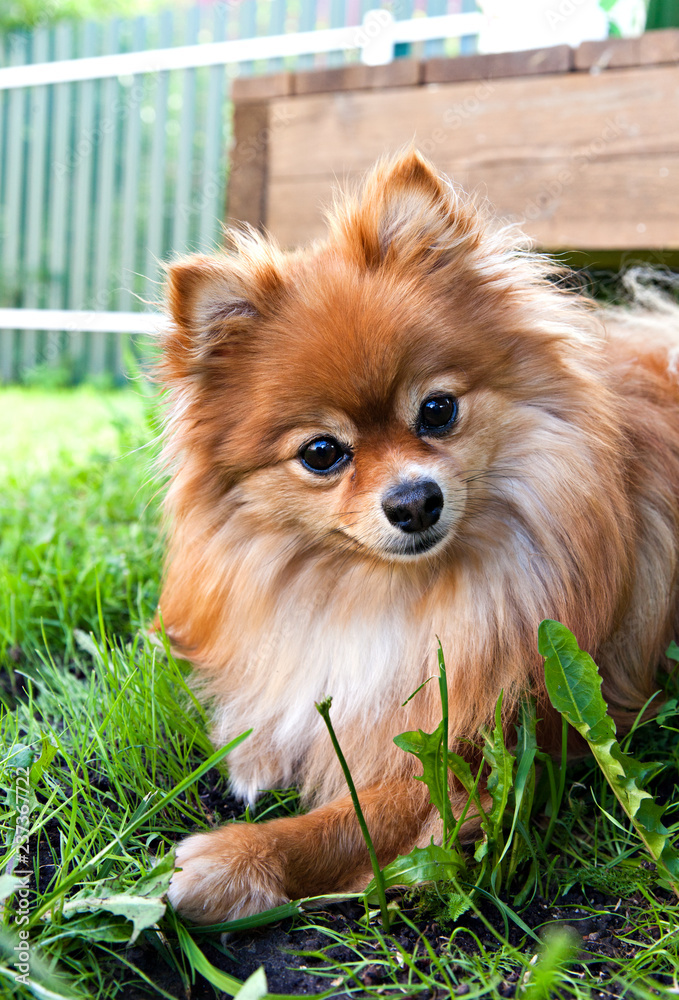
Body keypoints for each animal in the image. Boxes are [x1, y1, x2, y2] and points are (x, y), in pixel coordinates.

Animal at [161, 148, 679, 920]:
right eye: (322, 453)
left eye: (437, 410)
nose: (412, 501)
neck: (392, 594)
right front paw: (259, 746)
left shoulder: (493, 750)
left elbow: (362, 816)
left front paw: (238, 860)